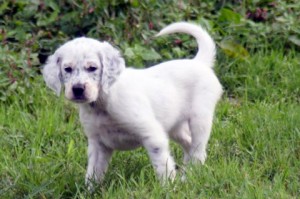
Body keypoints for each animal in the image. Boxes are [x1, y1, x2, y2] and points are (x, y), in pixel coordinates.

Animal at [43, 21, 224, 187]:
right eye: (67, 69)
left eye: (92, 68)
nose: (78, 89)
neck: (103, 103)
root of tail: (199, 62)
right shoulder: (97, 143)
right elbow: (93, 173)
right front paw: (88, 192)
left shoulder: (153, 135)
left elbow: (162, 166)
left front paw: (168, 188)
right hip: (175, 126)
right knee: (189, 144)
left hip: (200, 119)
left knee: (197, 151)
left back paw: (189, 177)